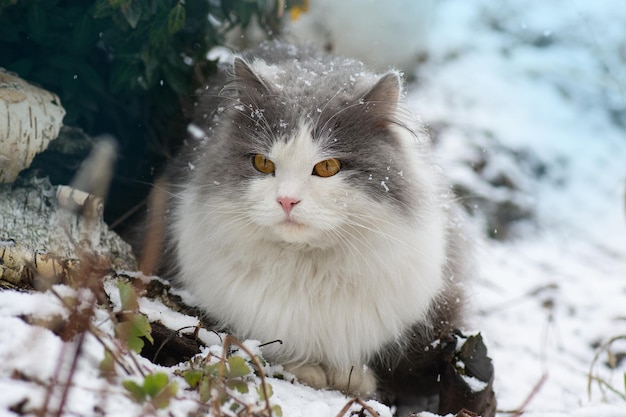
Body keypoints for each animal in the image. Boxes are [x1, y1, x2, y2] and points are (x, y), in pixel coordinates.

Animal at [141, 39, 492, 416]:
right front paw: (307, 368)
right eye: (262, 163)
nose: (287, 201)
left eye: (327, 167)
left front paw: (352, 377)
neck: (308, 267)